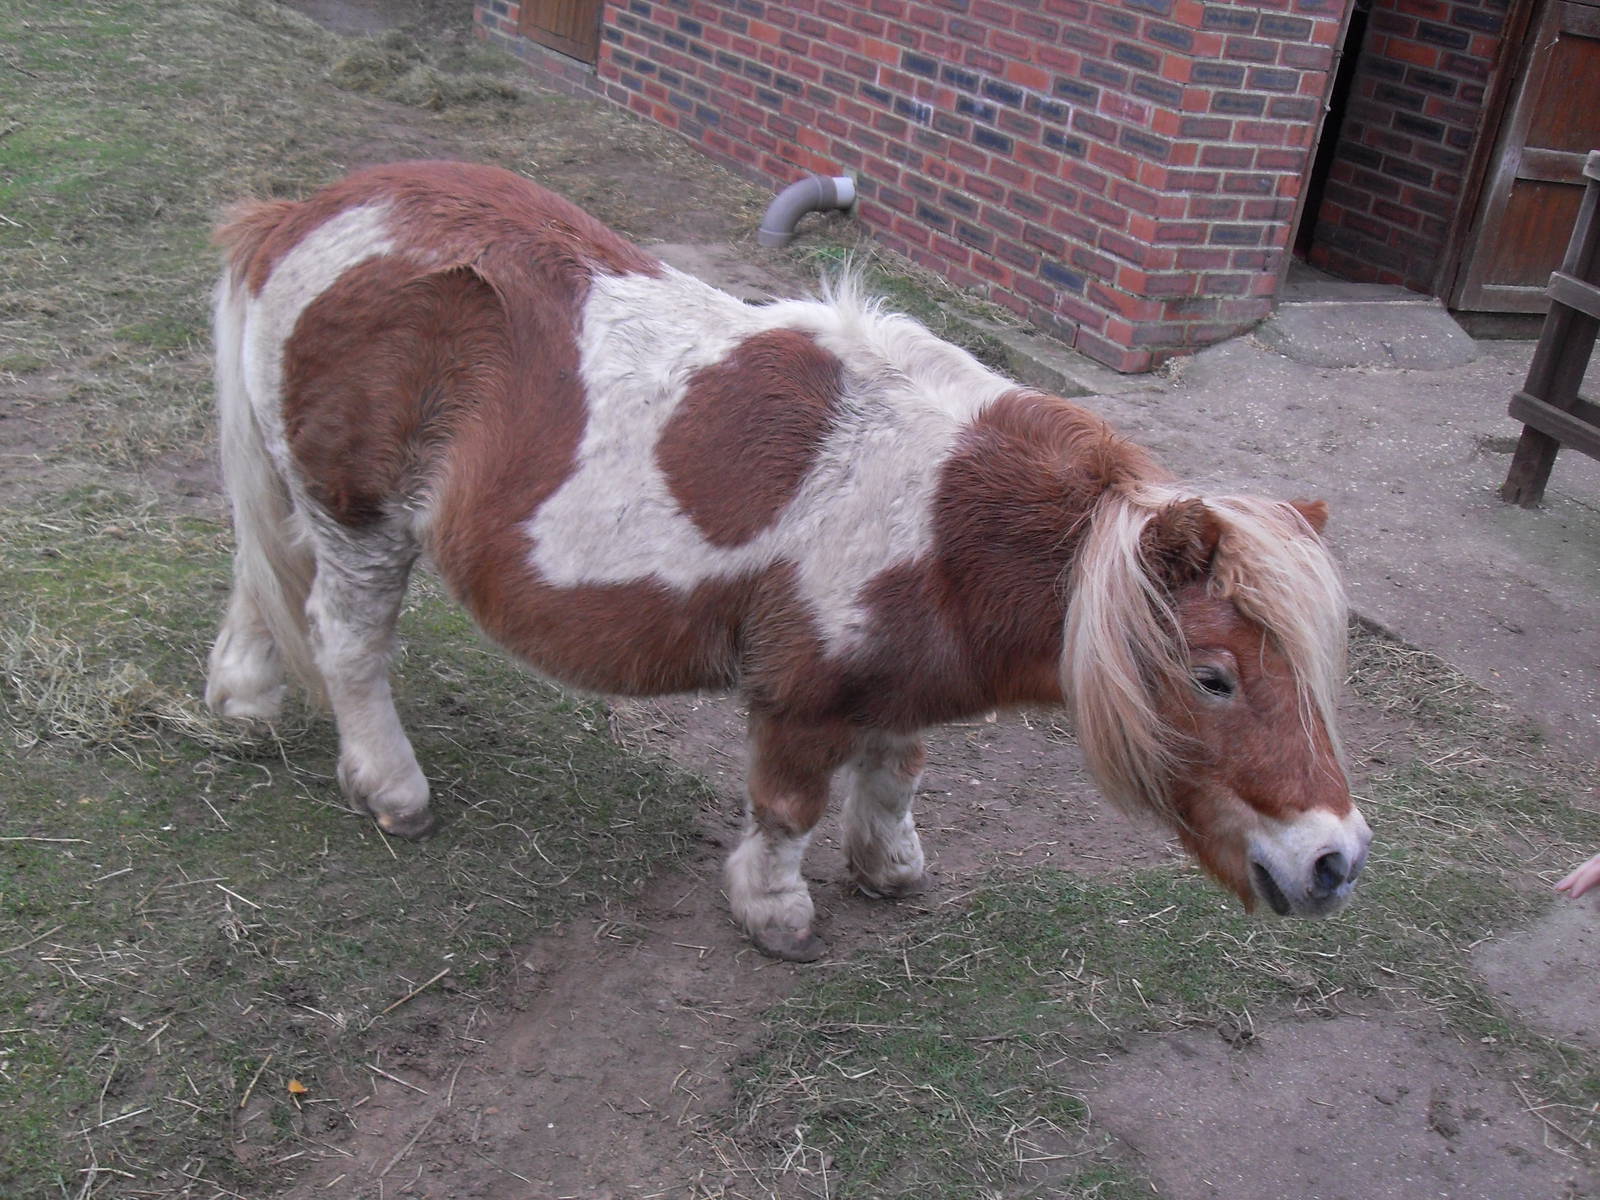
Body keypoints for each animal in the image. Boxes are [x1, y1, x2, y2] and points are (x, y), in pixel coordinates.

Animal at [204, 160, 1371, 961]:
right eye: (1213, 677)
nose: (1336, 861)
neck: (947, 516)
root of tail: (305, 216)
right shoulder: (800, 696)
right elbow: (787, 809)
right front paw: (775, 910)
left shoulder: (898, 678)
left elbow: (897, 770)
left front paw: (888, 866)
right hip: (362, 521)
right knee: (347, 644)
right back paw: (391, 788)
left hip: (309, 501)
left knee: (269, 584)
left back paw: (245, 706)